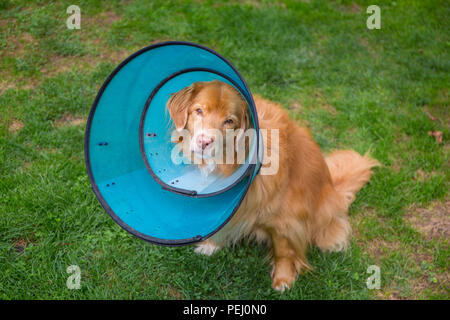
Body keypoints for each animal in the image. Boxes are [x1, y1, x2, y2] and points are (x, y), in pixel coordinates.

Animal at [167, 80, 378, 292]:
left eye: (229, 121)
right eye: (199, 110)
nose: (204, 142)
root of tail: (335, 189)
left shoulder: (286, 219)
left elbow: (284, 252)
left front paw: (283, 278)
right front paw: (211, 245)